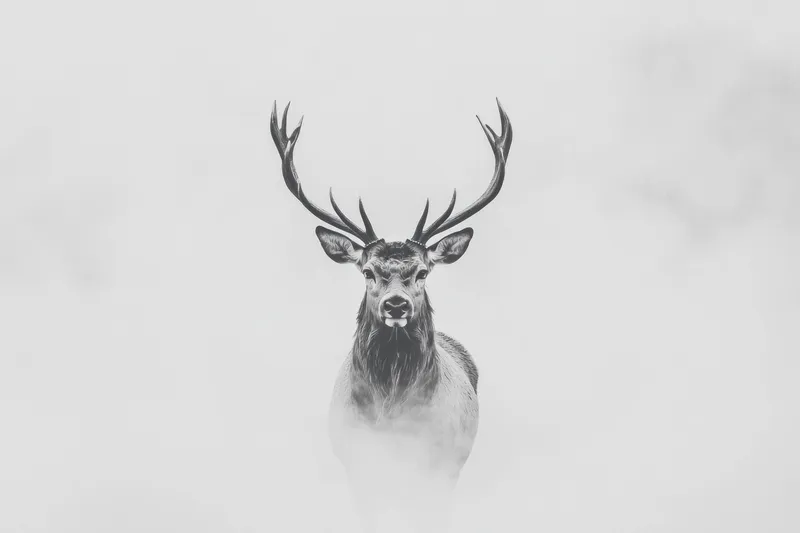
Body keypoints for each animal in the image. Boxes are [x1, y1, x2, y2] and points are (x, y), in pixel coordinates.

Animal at [269, 99, 512, 533]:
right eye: (367, 271)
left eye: (423, 272)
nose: (395, 305)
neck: (394, 414)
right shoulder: (359, 464)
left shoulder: (440, 464)